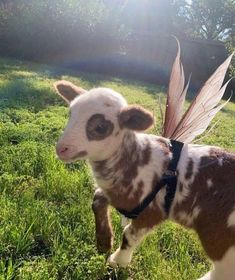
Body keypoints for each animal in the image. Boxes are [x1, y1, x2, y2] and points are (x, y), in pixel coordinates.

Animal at [53, 80, 235, 280]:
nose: (61, 148)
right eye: (70, 113)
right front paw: (104, 241)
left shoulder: (154, 210)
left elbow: (129, 234)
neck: (136, 160)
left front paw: (118, 261)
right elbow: (97, 199)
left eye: (100, 127)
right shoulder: (120, 194)